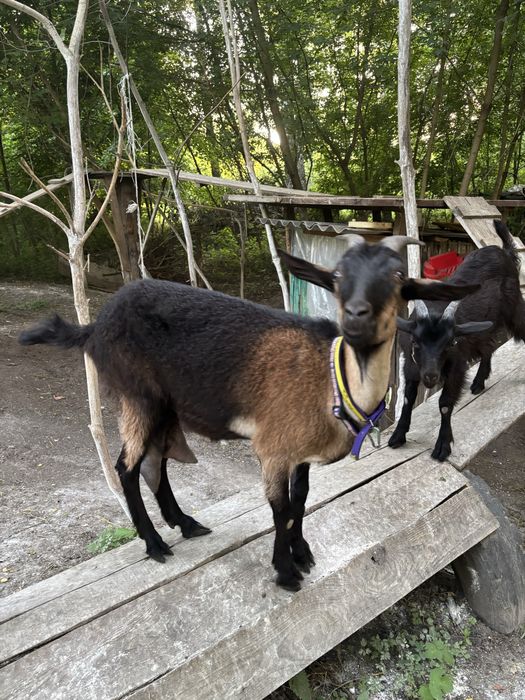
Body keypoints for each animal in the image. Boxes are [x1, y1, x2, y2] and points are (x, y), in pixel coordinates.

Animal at [19, 235, 478, 591]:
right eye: (336, 277)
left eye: (400, 278)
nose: (356, 317)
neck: (330, 379)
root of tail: (93, 328)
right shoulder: (273, 447)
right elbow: (280, 509)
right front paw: (286, 572)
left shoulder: (299, 451)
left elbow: (300, 500)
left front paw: (302, 552)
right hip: (138, 395)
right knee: (128, 468)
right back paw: (155, 544)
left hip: (163, 404)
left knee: (154, 463)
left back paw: (185, 523)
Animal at [389, 220, 525, 462]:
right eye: (415, 343)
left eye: (450, 344)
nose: (431, 376)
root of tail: (504, 251)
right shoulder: (410, 365)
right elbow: (407, 398)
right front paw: (398, 435)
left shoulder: (456, 367)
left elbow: (445, 404)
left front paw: (443, 446)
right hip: (486, 324)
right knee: (488, 346)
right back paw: (479, 382)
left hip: (514, 308)